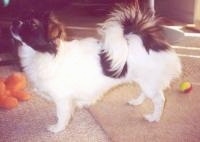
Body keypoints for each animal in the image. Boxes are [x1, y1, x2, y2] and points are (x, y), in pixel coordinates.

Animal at [10, 3, 182, 133]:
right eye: (22, 17)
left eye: (33, 24)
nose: (14, 22)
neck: (47, 54)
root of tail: (147, 40)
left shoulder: (62, 98)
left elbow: (62, 114)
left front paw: (57, 128)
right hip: (145, 81)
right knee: (145, 93)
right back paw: (136, 102)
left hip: (149, 82)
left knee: (160, 99)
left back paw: (154, 117)